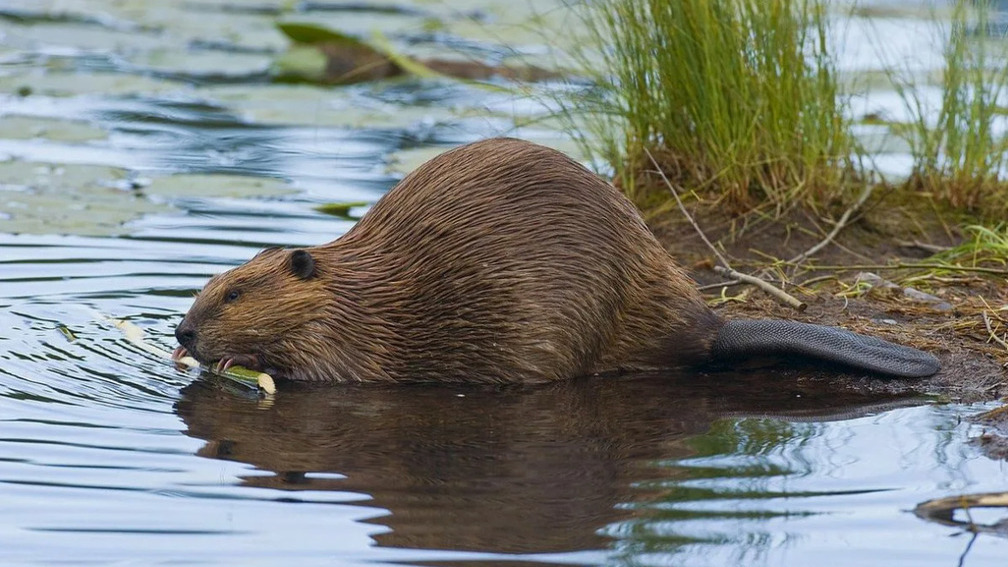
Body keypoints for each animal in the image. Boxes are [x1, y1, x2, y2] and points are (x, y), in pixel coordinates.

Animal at [173, 137, 935, 383]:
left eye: (235, 293)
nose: (182, 328)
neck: (353, 287)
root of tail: (713, 327)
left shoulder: (356, 335)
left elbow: (326, 370)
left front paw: (233, 360)